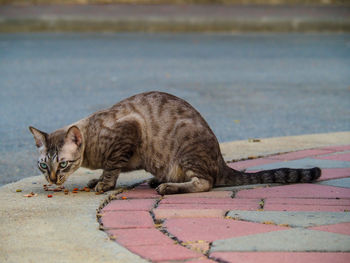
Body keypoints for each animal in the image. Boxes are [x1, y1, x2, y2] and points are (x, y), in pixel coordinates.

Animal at [28, 92, 322, 195]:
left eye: (62, 164)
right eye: (43, 166)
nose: (52, 179)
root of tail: (220, 161)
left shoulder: (129, 132)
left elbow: (112, 167)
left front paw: (102, 184)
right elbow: (111, 169)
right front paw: (95, 180)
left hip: (186, 151)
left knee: (205, 183)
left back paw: (167, 187)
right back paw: (157, 180)